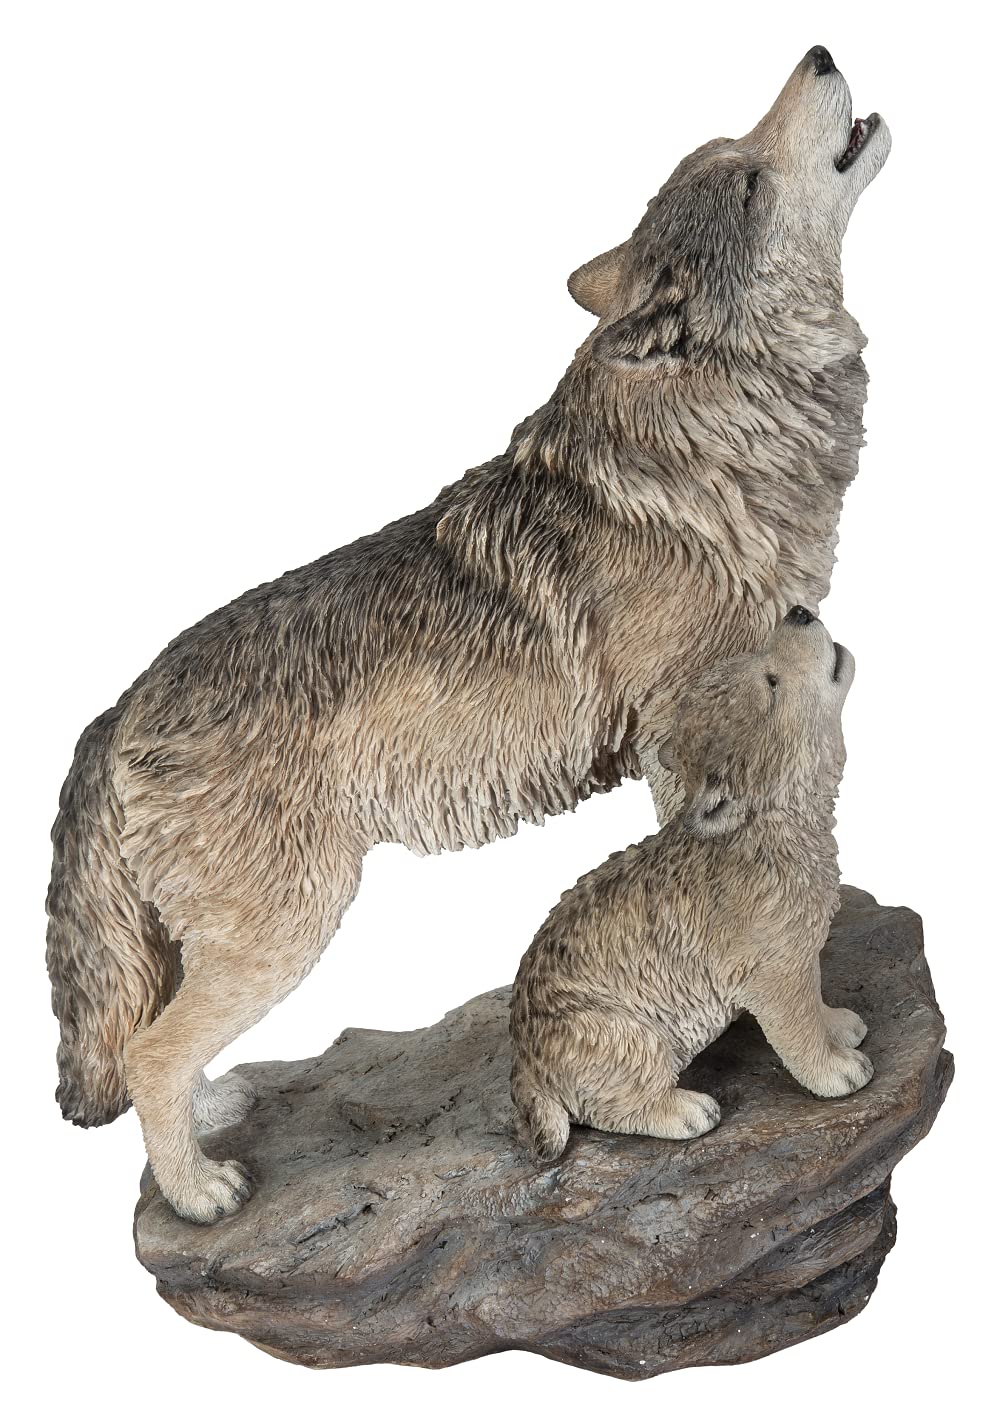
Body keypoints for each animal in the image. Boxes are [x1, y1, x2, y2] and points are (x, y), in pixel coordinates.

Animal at [510, 607, 869, 1160]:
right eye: (771, 681)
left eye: (759, 657)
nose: (798, 612)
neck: (777, 823)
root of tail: (526, 1066)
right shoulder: (772, 970)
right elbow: (797, 1028)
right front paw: (835, 1072)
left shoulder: (800, 954)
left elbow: (816, 1000)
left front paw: (839, 1025)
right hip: (622, 1033)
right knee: (614, 1105)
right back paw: (685, 1109)